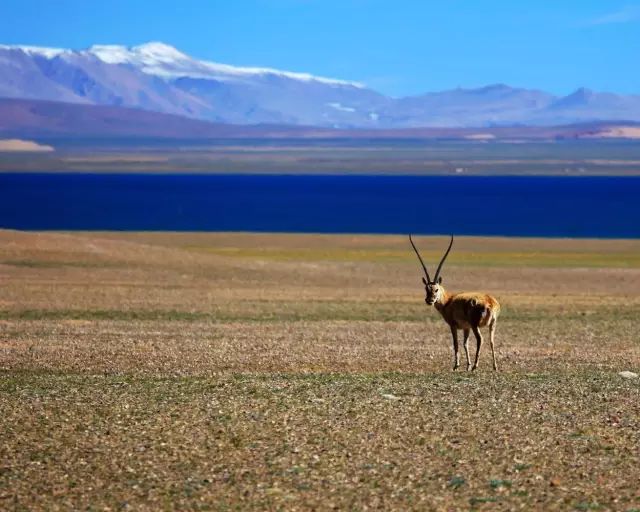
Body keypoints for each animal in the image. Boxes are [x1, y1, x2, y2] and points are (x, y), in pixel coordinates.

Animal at [410, 234, 500, 370]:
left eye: (436, 289)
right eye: (426, 289)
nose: (429, 300)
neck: (448, 300)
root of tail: (490, 302)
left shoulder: (453, 326)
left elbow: (456, 343)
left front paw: (456, 365)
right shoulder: (466, 328)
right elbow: (465, 344)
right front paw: (467, 365)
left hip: (475, 325)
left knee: (480, 339)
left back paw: (475, 366)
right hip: (491, 325)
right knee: (492, 341)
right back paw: (494, 367)